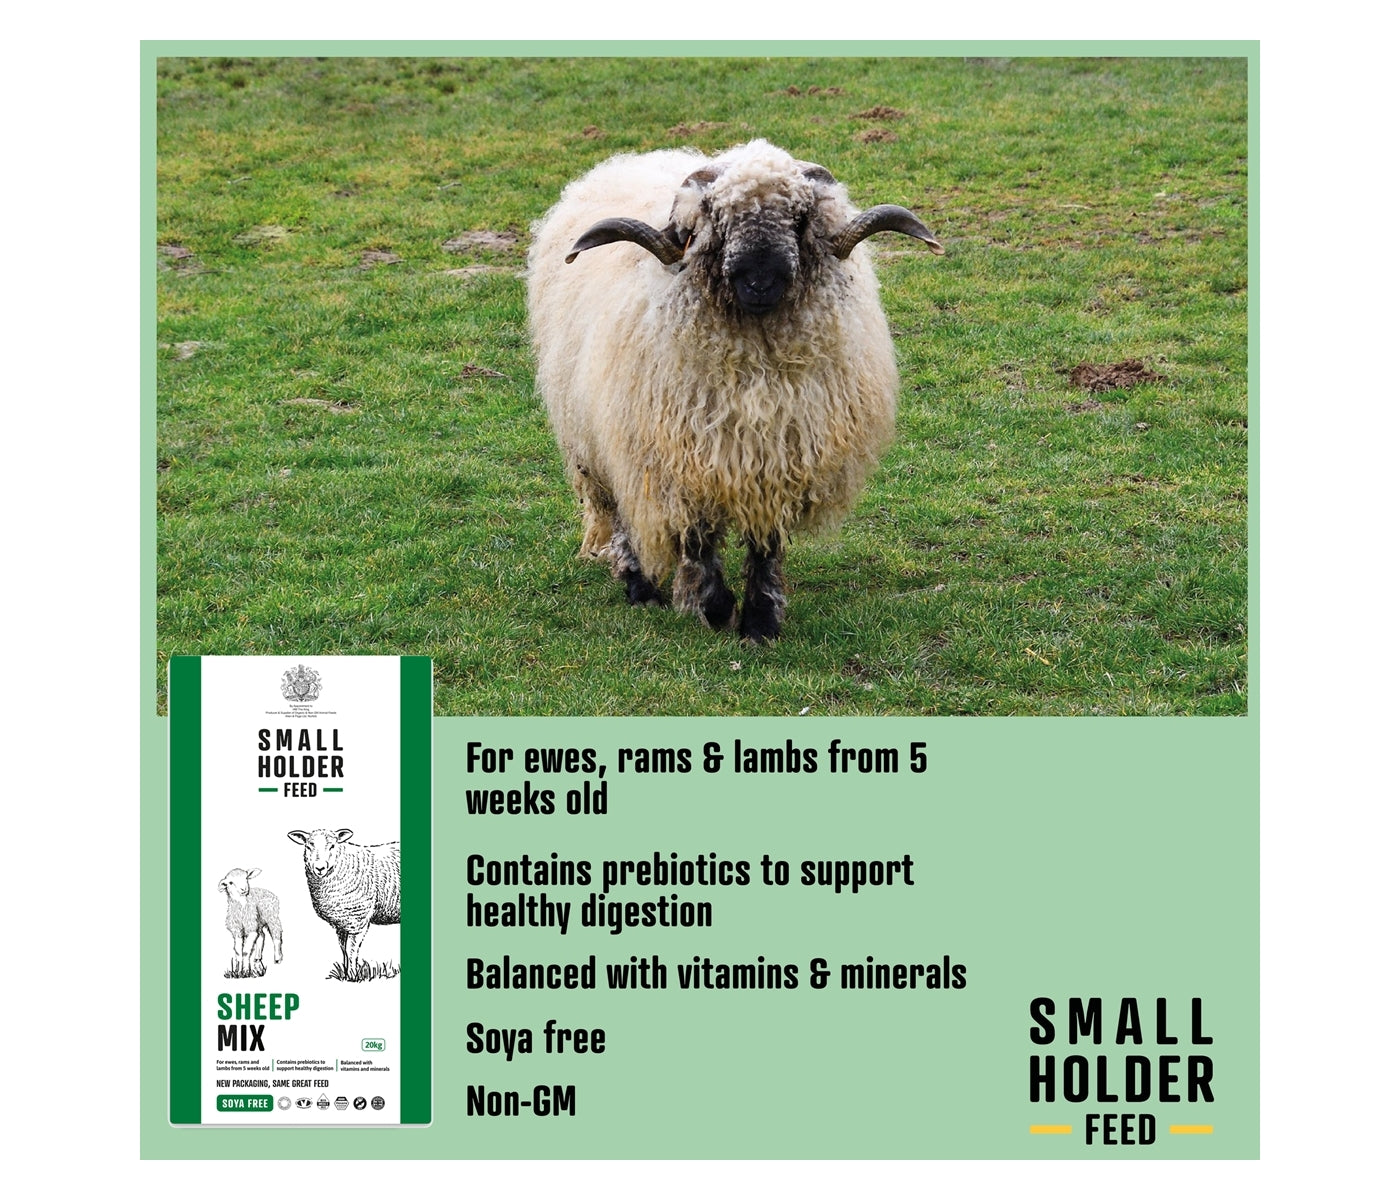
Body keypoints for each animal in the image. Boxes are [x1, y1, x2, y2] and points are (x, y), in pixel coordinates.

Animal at [286, 828, 400, 978]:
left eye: (332, 846)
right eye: (309, 846)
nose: (320, 868)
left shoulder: (358, 920)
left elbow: (351, 950)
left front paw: (352, 976)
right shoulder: (341, 923)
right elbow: (343, 949)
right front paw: (345, 975)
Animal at [527, 138, 942, 644]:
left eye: (800, 218)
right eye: (717, 220)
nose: (760, 282)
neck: (755, 367)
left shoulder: (778, 463)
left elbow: (766, 545)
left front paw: (760, 621)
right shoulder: (680, 460)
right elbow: (698, 538)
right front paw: (715, 608)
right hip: (593, 439)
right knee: (617, 511)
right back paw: (639, 585)